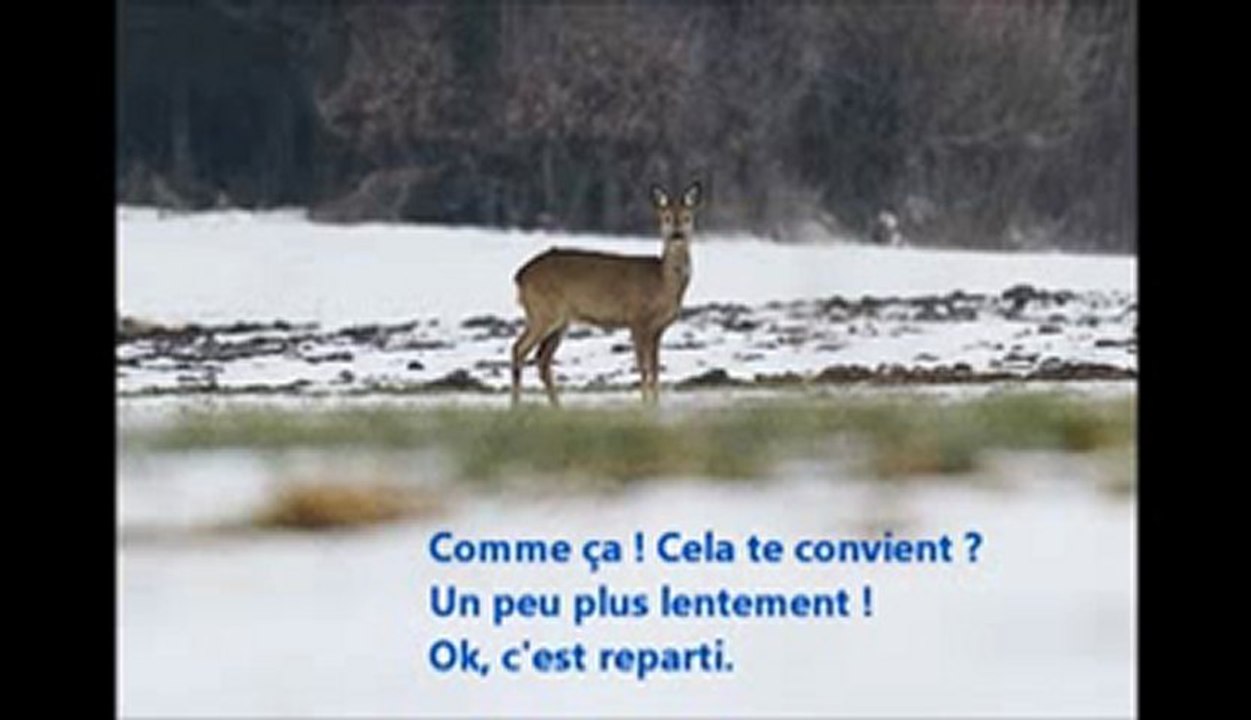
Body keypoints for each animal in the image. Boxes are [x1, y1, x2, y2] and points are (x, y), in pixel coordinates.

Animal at [511, 181, 703, 407]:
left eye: (687, 217)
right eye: (666, 218)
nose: (677, 235)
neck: (662, 283)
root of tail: (520, 275)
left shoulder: (658, 328)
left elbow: (656, 370)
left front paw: (656, 405)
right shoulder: (637, 320)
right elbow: (644, 368)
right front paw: (645, 406)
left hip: (559, 321)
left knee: (542, 358)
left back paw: (557, 407)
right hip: (543, 312)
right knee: (518, 349)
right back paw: (516, 406)